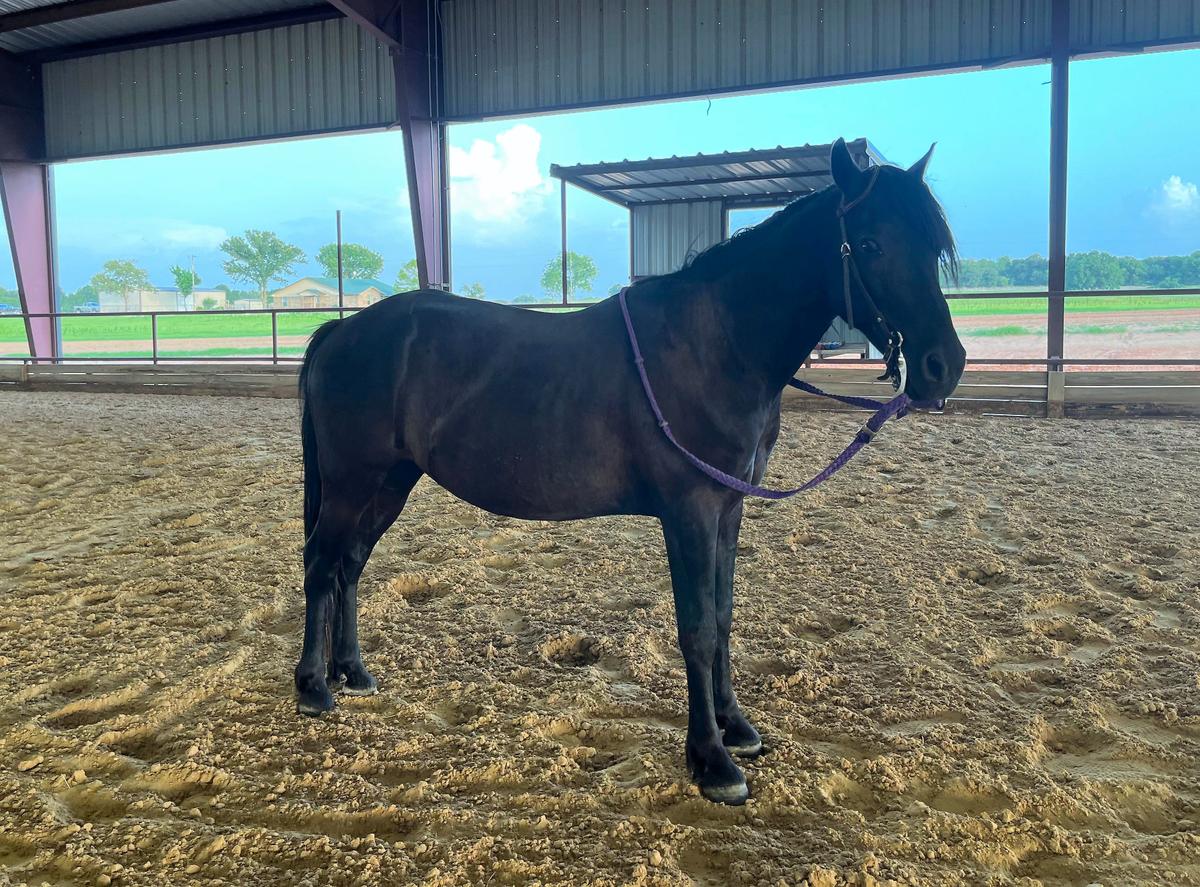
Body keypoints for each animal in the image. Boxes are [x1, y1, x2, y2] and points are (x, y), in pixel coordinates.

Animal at [293, 138, 966, 805]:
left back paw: (353, 672)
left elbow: (724, 616)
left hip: (390, 484)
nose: (944, 366)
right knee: (322, 563)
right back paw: (313, 687)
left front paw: (737, 727)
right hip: (354, 483)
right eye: (870, 244)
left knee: (350, 564)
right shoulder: (689, 513)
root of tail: (343, 329)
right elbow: (697, 628)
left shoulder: (729, 509)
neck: (716, 346)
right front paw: (712, 761)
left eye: (933, 245)